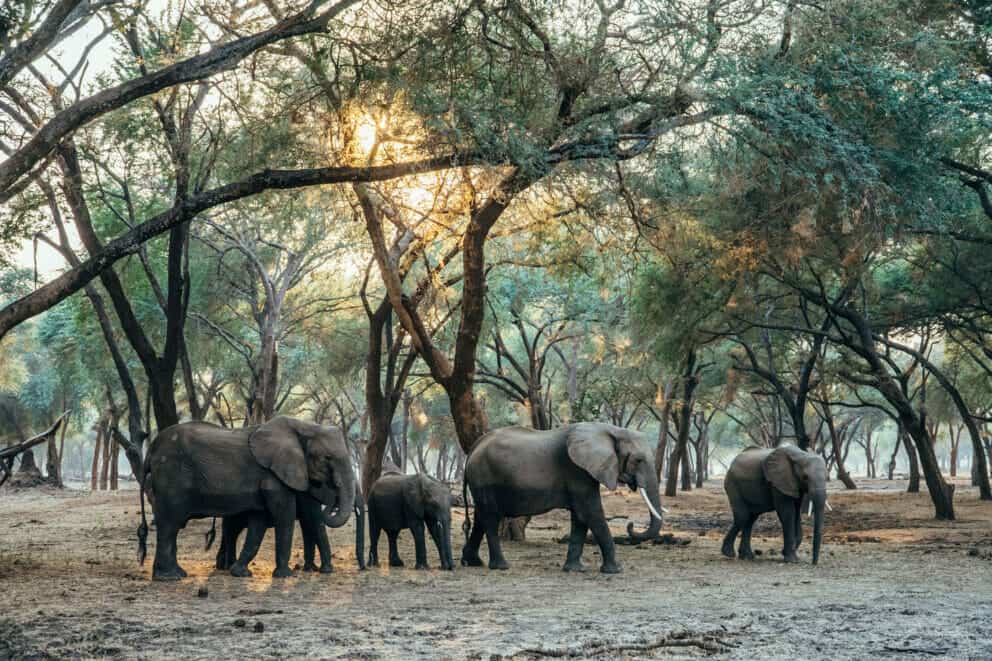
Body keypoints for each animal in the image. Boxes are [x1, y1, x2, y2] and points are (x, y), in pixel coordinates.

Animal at [136, 416, 363, 580]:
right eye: (327, 458)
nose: (334, 497)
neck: (303, 426)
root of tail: (151, 452)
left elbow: (259, 522)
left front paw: (240, 573)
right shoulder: (274, 476)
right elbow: (285, 516)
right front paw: (285, 576)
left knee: (175, 527)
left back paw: (180, 573)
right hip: (171, 477)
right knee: (170, 525)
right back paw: (169, 577)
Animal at [460, 422, 664, 574]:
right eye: (638, 460)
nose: (630, 525)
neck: (611, 430)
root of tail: (473, 449)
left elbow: (580, 517)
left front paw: (574, 569)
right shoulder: (578, 471)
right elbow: (591, 513)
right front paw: (616, 570)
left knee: (480, 517)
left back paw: (472, 562)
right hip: (484, 476)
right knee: (490, 517)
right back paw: (501, 567)